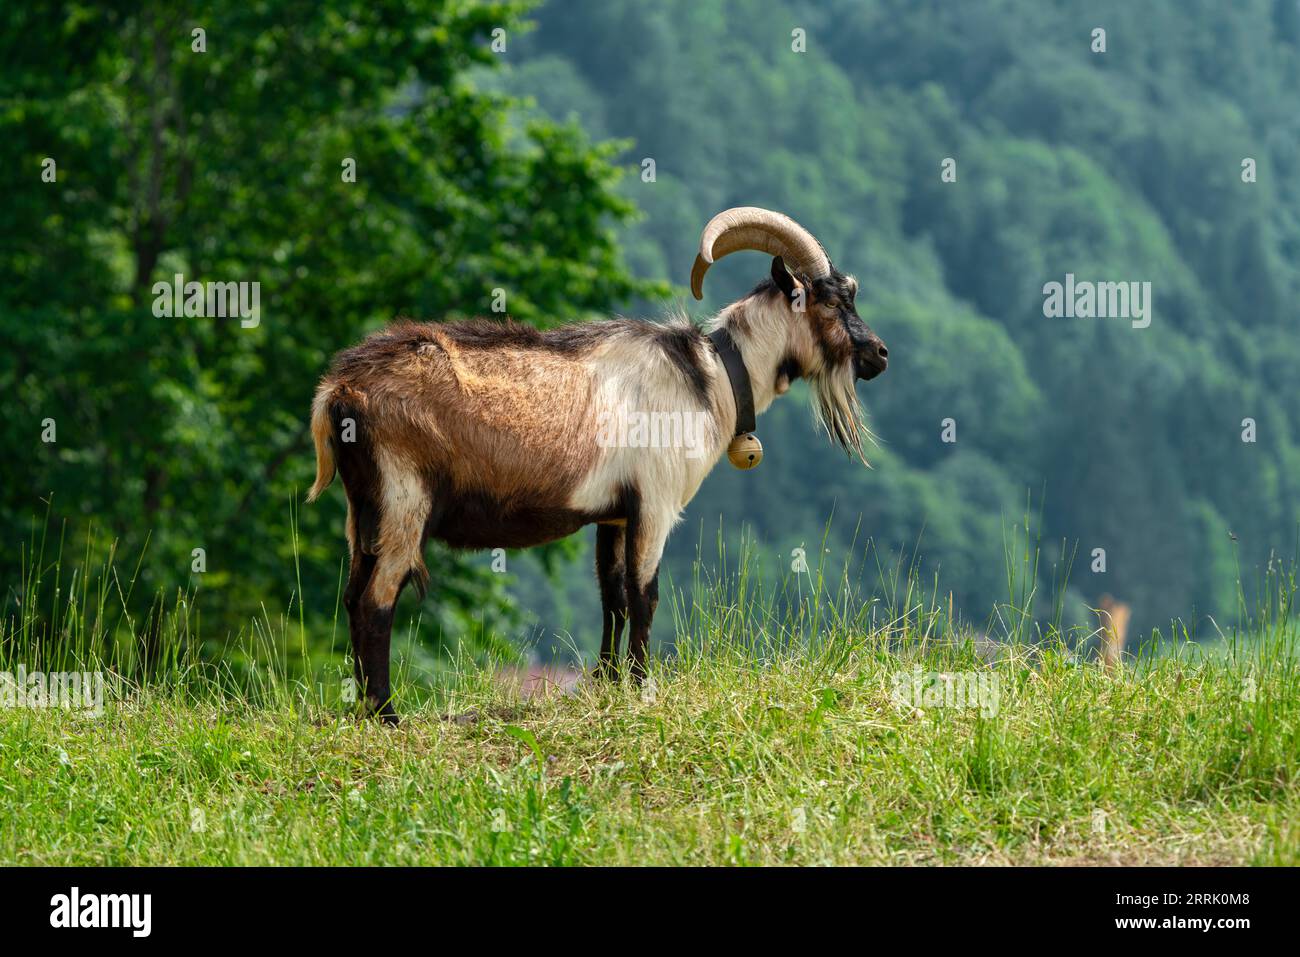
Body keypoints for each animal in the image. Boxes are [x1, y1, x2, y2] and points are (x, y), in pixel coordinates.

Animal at [309, 208, 889, 717]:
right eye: (830, 302)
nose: (879, 355)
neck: (712, 377)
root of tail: (339, 392)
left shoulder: (613, 514)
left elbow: (612, 595)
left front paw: (609, 683)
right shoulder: (655, 502)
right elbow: (644, 593)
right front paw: (642, 687)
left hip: (363, 510)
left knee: (352, 594)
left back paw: (361, 707)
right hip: (403, 498)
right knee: (376, 601)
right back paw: (385, 714)